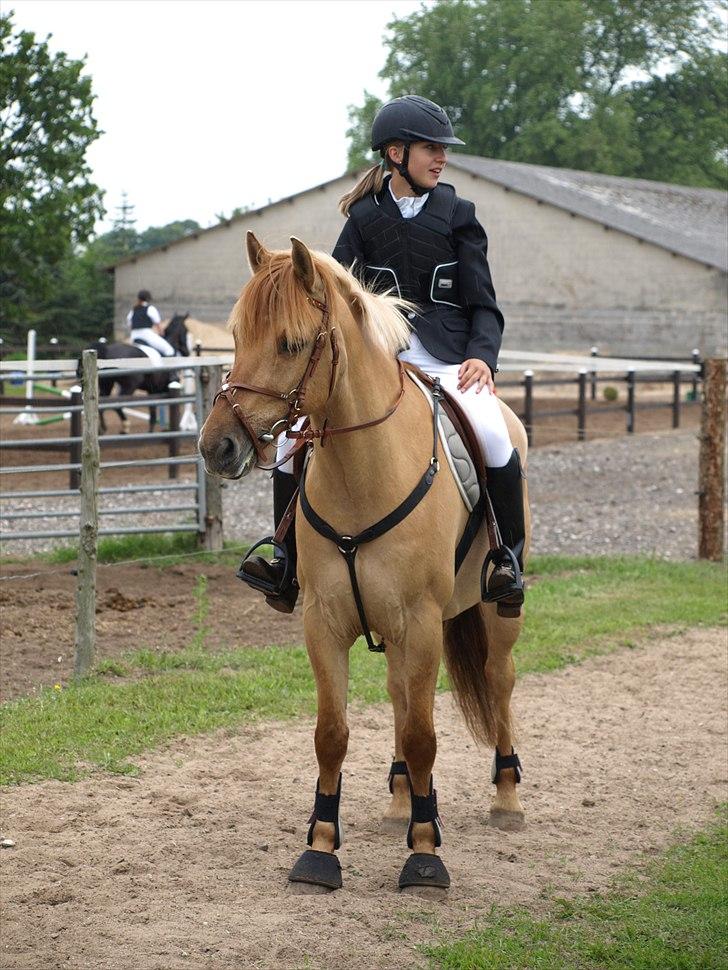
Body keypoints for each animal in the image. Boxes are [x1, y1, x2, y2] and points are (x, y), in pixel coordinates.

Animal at [199, 233, 528, 892]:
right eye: (238, 335)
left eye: (291, 343)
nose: (215, 446)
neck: (363, 473)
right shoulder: (325, 622)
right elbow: (333, 734)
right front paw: (321, 849)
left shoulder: (421, 622)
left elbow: (424, 736)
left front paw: (425, 855)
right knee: (401, 696)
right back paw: (402, 799)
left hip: (492, 612)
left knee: (498, 680)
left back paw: (505, 797)